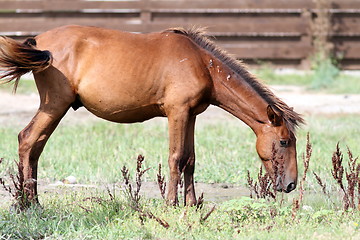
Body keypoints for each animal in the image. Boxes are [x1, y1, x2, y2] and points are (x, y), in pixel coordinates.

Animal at [0, 25, 304, 206]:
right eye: (284, 142)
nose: (290, 184)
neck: (201, 63)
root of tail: (38, 42)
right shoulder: (177, 113)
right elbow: (176, 158)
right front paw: (171, 204)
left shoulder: (191, 115)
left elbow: (190, 160)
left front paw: (191, 204)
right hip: (55, 105)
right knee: (28, 140)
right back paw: (28, 204)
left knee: (35, 147)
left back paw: (30, 201)